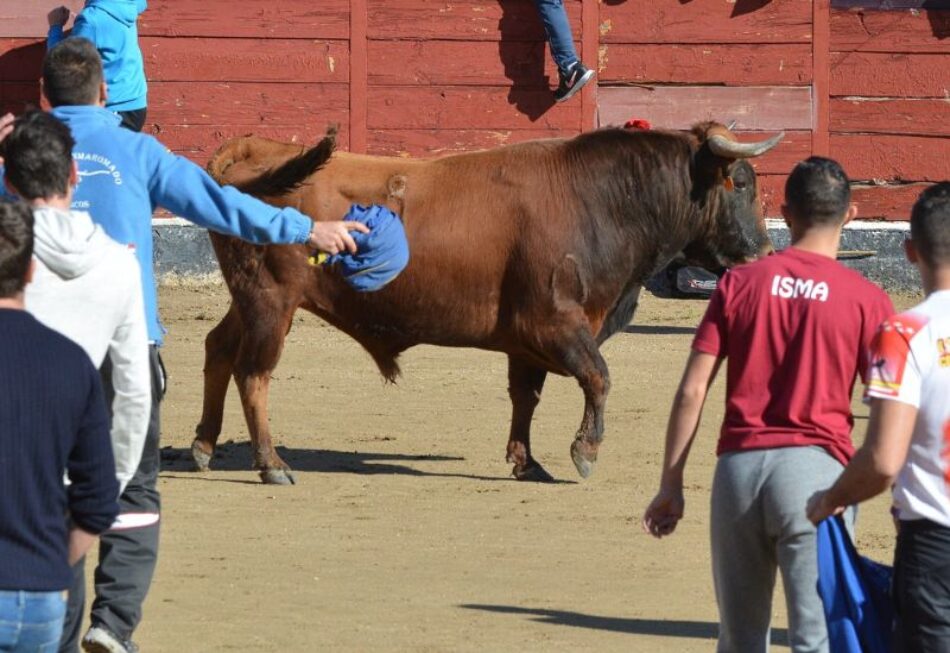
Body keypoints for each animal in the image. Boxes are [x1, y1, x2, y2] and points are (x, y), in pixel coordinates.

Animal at [193, 123, 780, 484]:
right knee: (254, 373)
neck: (600, 200)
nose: (765, 252)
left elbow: (526, 397)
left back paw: (203, 445)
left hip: (249, 300)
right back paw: (271, 463)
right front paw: (585, 453)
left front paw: (527, 462)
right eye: (741, 182)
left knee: (218, 349)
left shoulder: (526, 340)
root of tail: (254, 152)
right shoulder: (556, 322)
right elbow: (598, 377)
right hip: (272, 301)